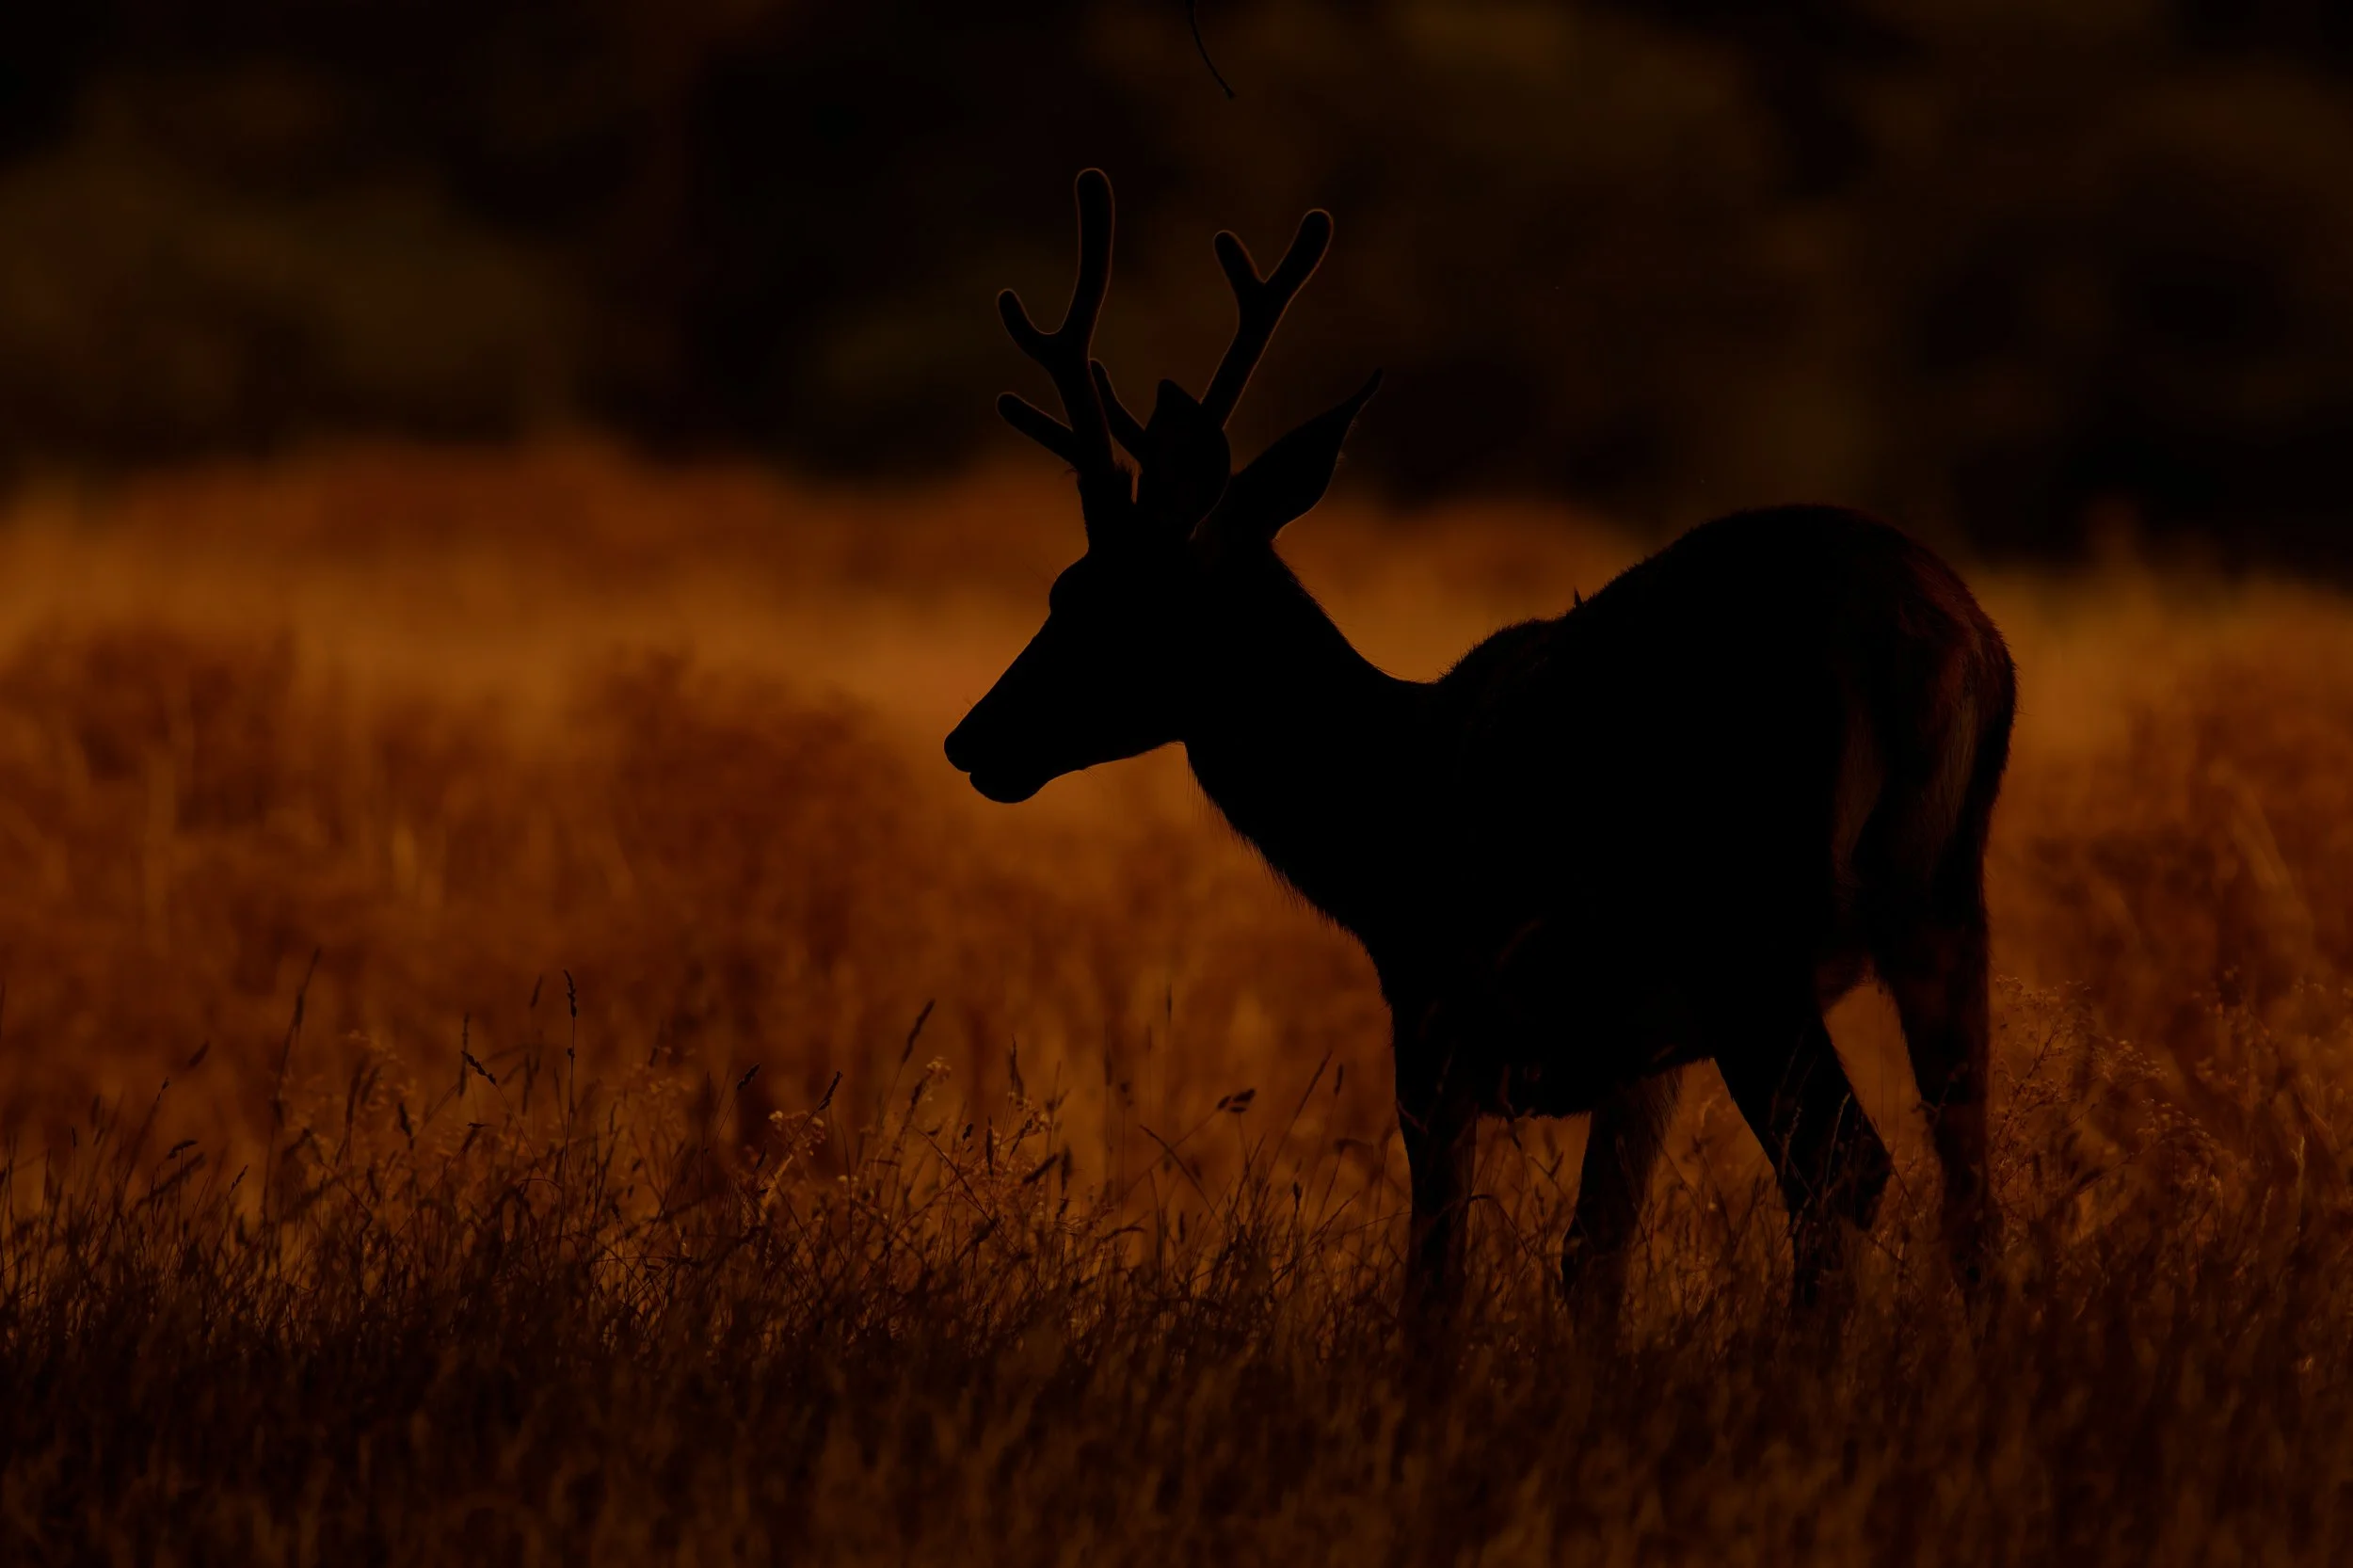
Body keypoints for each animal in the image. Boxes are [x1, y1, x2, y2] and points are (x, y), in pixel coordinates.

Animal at [945, 170, 2016, 1323]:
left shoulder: (1437, 1010)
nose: (972, 739)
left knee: (1843, 1163)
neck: (1381, 807)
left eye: (1092, 595)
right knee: (1969, 1188)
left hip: (1748, 925)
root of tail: (1936, 636)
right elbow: (1592, 1259)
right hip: (1942, 910)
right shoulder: (1645, 1052)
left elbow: (1436, 1279)